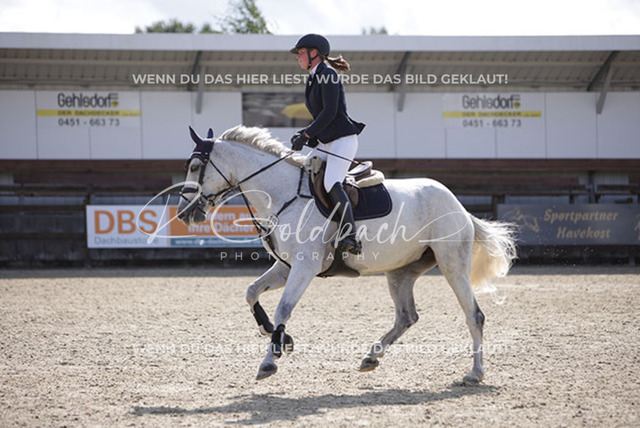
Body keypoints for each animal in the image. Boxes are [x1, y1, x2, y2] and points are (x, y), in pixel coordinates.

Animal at [177, 125, 517, 385]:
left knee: (474, 315)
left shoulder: (305, 266)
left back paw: (475, 373)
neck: (281, 193)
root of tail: (458, 205)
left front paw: (269, 360)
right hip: (401, 271)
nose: (184, 213)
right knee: (407, 316)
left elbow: (284, 308)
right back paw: (371, 357)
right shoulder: (286, 267)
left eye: (194, 167)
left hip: (451, 265)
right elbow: (251, 293)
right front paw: (276, 335)